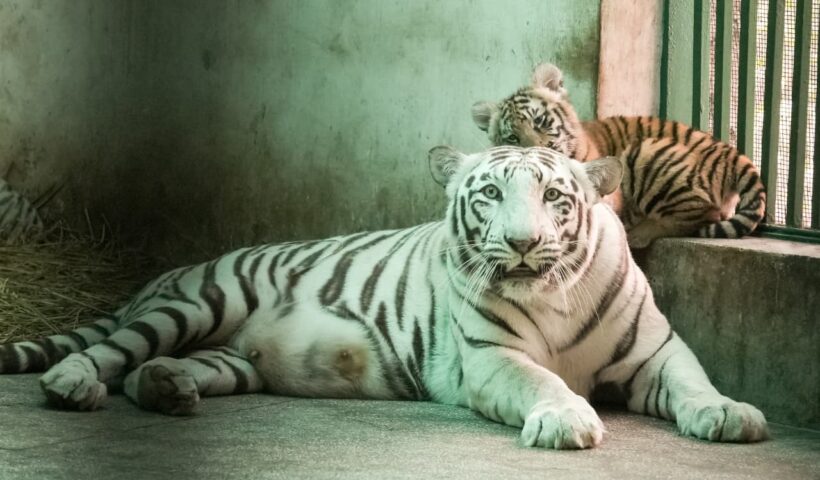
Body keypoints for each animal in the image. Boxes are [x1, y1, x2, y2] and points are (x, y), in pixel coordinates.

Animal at [0, 146, 767, 449]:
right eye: (490, 195)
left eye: (554, 196)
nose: (522, 244)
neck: (556, 295)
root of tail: (162, 277)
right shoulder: (492, 359)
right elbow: (542, 380)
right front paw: (564, 420)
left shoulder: (656, 351)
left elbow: (695, 381)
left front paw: (730, 414)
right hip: (199, 303)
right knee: (110, 351)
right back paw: (72, 383)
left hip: (230, 358)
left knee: (146, 372)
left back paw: (166, 390)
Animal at [471, 63, 767, 248]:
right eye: (512, 138)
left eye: (540, 121)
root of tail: (730, 152)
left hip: (645, 150)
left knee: (703, 213)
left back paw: (638, 234)